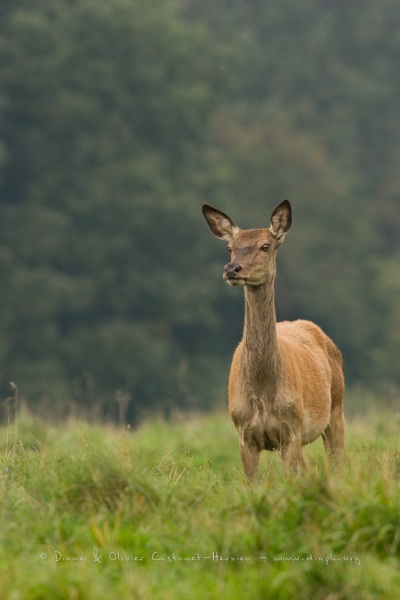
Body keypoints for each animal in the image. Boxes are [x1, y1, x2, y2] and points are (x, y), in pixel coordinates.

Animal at [202, 199, 346, 480]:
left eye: (265, 246)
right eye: (230, 248)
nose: (232, 269)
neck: (262, 395)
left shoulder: (291, 431)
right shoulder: (244, 434)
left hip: (337, 408)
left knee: (337, 462)